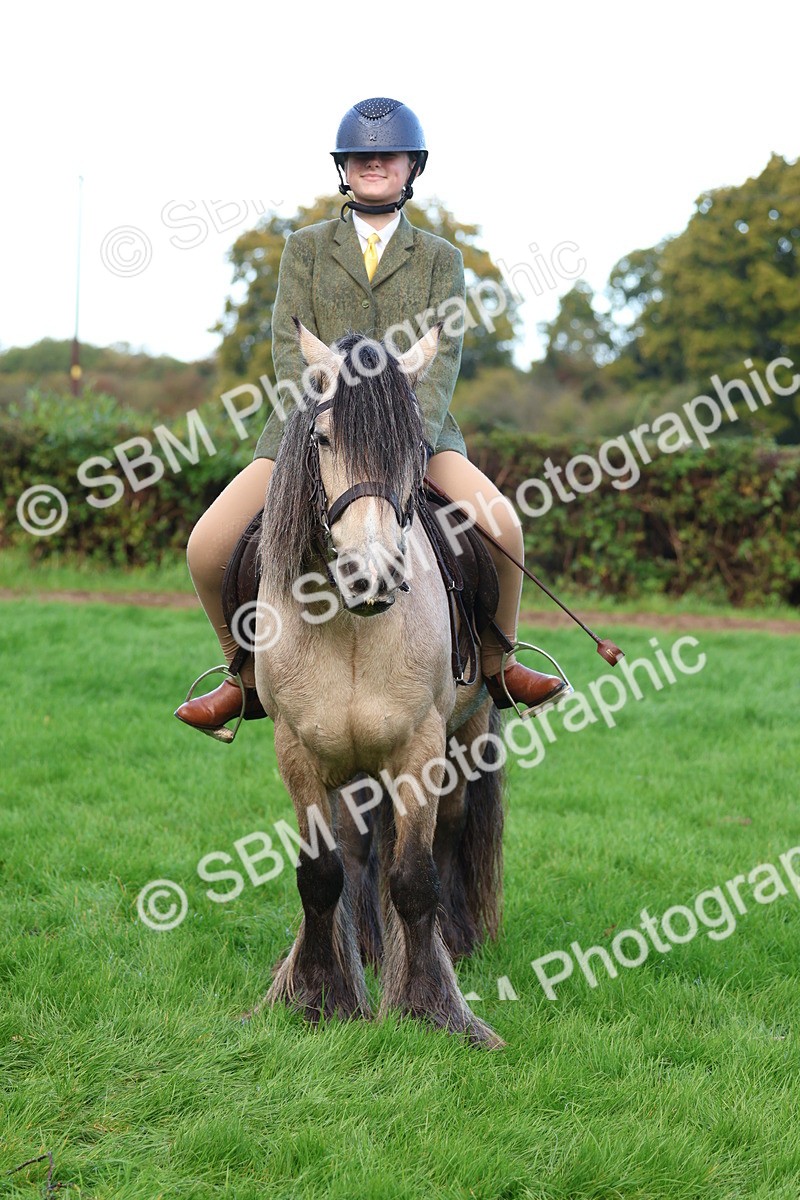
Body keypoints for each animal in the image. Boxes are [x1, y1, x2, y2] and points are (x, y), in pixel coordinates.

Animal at [249, 319, 505, 1049]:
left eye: (414, 448)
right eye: (324, 439)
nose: (373, 574)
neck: (351, 624)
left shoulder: (419, 747)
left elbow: (415, 878)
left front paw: (431, 1008)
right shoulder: (298, 749)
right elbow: (321, 873)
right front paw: (318, 995)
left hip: (466, 734)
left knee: (449, 829)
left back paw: (455, 939)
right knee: (361, 848)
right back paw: (364, 945)